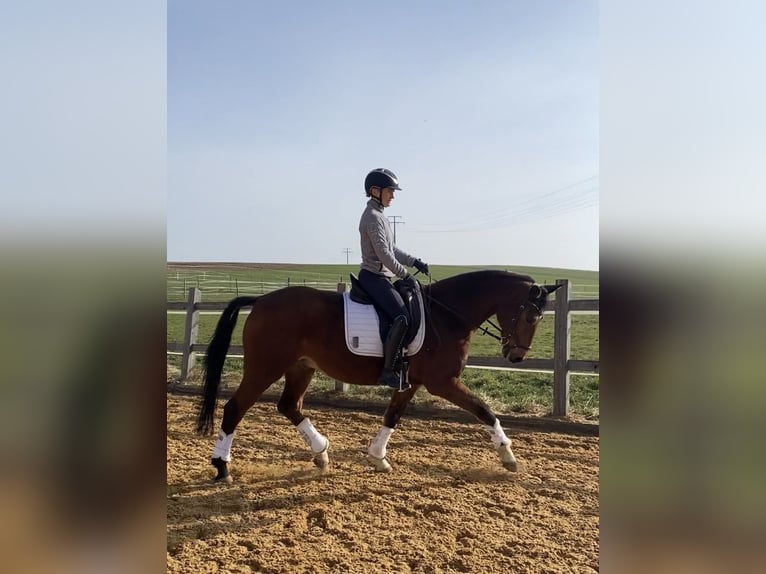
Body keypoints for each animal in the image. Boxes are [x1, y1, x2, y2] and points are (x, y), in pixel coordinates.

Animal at [196, 270, 561, 482]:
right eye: (532, 316)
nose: (515, 356)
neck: (446, 315)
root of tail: (261, 300)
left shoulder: (411, 381)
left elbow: (392, 416)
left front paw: (377, 458)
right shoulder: (442, 382)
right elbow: (483, 409)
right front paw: (508, 456)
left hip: (301, 367)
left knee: (289, 406)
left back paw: (321, 451)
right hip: (265, 367)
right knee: (235, 408)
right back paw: (222, 467)